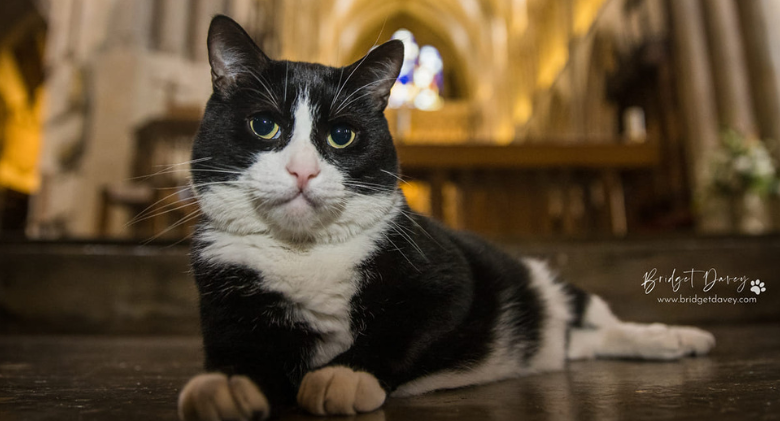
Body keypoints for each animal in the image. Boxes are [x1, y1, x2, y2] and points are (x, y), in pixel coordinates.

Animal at [180, 16, 716, 420]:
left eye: (341, 136)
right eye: (263, 125)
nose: (302, 170)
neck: (304, 253)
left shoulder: (448, 277)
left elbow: (402, 329)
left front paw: (341, 375)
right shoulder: (226, 298)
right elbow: (238, 352)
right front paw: (223, 387)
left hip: (540, 280)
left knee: (598, 317)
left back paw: (677, 337)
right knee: (586, 338)